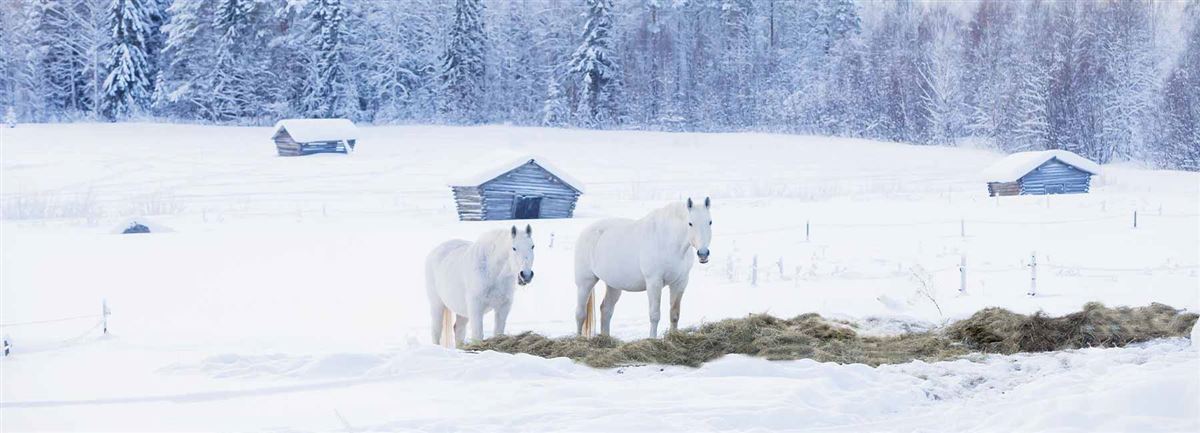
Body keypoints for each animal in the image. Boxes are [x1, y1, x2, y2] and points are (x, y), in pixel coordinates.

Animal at [573, 196, 710, 338]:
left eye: (710, 222)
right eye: (690, 223)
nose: (703, 253)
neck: (668, 242)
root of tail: (586, 231)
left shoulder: (680, 282)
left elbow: (674, 314)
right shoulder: (654, 282)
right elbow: (654, 315)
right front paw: (653, 339)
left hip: (614, 285)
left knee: (606, 310)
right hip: (585, 283)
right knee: (580, 314)